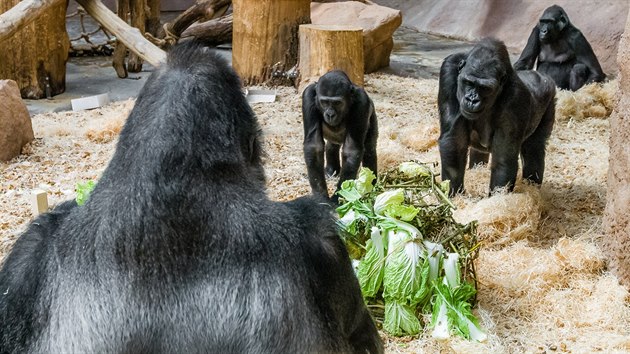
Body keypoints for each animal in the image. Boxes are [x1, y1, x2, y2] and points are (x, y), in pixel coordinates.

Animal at [302, 70, 378, 201]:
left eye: (337, 103)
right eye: (324, 102)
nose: (330, 114)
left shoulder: (362, 101)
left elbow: (351, 150)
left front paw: (339, 197)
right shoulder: (308, 95)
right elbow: (314, 146)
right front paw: (321, 197)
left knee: (370, 148)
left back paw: (372, 184)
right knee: (332, 145)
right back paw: (331, 170)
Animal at [440, 38, 556, 196]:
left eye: (485, 88)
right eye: (468, 82)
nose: (472, 99)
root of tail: (543, 78)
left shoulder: (517, 98)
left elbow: (503, 160)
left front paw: (496, 200)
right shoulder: (448, 71)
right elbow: (454, 141)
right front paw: (454, 194)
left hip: (550, 98)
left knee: (534, 147)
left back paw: (532, 188)